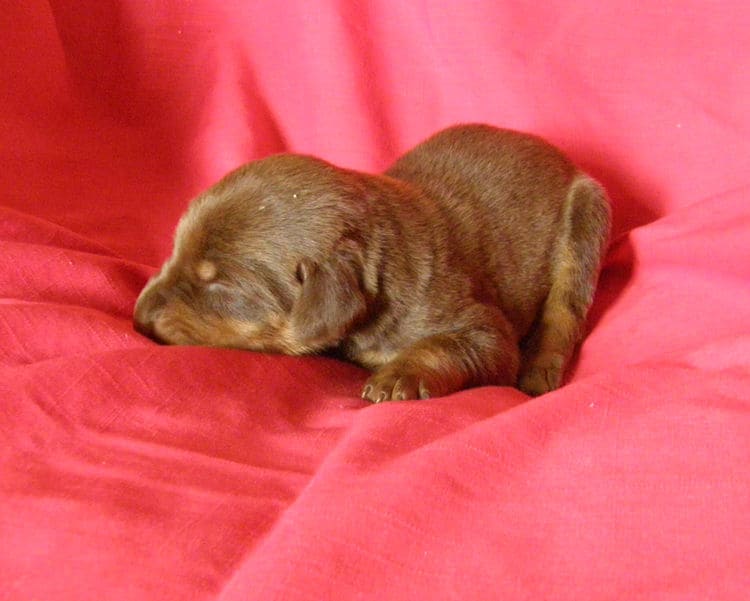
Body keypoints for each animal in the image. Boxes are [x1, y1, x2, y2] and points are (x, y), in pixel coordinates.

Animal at [134, 124, 612, 400]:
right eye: (175, 249)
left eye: (221, 285)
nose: (139, 317)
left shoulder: (485, 330)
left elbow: (454, 343)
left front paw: (399, 377)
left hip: (586, 218)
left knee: (564, 312)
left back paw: (539, 371)